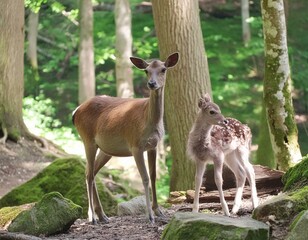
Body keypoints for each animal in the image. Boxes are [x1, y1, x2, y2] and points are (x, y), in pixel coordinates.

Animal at [73, 52, 178, 223]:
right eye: (146, 70)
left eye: (163, 69)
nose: (151, 83)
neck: (149, 121)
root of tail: (76, 112)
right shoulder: (135, 145)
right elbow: (145, 177)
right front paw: (150, 215)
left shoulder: (153, 145)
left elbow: (154, 176)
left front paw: (158, 211)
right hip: (87, 139)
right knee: (88, 174)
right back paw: (92, 217)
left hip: (105, 149)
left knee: (92, 172)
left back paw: (102, 215)